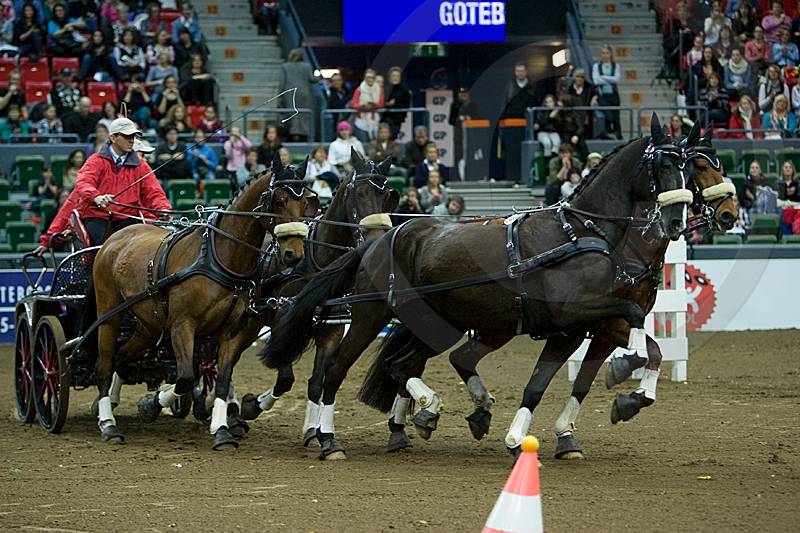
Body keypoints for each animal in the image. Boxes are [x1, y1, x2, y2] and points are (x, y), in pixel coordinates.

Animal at [88, 157, 316, 449]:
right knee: (105, 365)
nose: (293, 255)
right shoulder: (182, 325)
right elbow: (185, 378)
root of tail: (118, 236)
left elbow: (222, 380)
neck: (220, 258)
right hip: (109, 314)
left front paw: (221, 430)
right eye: (278, 200)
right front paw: (151, 404)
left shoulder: (232, 331)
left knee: (122, 358)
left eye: (305, 201)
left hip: (149, 325)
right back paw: (108, 423)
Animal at [238, 148, 400, 447]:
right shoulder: (282, 321)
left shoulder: (331, 331)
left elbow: (316, 382)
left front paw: (314, 431)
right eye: (358, 192)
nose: (377, 239)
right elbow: (285, 379)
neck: (319, 262)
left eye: (386, 195)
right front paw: (252, 406)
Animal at [259, 114, 692, 459]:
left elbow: (559, 378)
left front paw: (628, 391)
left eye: (687, 166)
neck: (578, 231)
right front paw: (625, 364)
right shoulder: (573, 313)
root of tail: (380, 240)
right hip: (370, 314)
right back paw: (329, 439)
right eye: (663, 164)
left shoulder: (574, 325)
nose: (675, 220)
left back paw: (434, 411)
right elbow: (632, 319)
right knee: (336, 370)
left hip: (440, 322)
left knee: (404, 364)